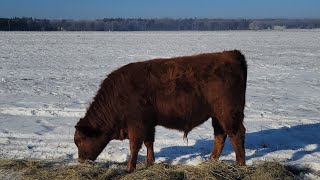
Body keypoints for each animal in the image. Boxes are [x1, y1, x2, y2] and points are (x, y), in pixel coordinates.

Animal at [75, 50, 248, 172]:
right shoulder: (148, 124)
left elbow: (134, 146)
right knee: (220, 135)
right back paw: (211, 160)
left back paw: (240, 164)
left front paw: (129, 168)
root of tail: (232, 54)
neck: (118, 95)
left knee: (236, 134)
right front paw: (150, 162)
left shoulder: (136, 125)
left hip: (228, 113)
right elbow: (149, 143)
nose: (80, 161)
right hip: (217, 116)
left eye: (80, 141)